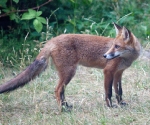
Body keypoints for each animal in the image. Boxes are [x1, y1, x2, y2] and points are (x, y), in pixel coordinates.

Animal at [0, 23, 141, 110]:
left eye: (116, 46)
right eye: (113, 45)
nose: (105, 56)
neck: (126, 59)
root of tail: (51, 40)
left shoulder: (118, 73)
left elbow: (119, 91)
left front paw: (121, 104)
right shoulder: (108, 71)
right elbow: (109, 92)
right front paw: (110, 106)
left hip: (66, 73)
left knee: (61, 91)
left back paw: (66, 106)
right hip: (70, 72)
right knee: (57, 90)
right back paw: (63, 109)